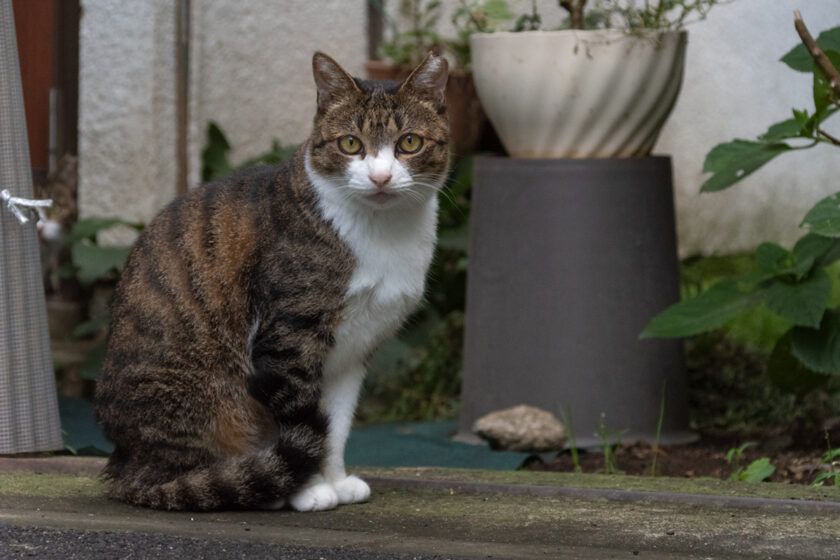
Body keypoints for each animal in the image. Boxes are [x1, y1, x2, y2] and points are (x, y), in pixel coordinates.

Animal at [95, 52, 450, 512]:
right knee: (190, 477)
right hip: (209, 402)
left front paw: (335, 480)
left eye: (408, 143)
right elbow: (299, 412)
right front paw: (309, 488)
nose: (380, 178)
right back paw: (253, 485)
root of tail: (120, 465)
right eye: (350, 144)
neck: (383, 233)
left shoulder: (354, 350)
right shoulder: (289, 340)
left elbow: (336, 425)